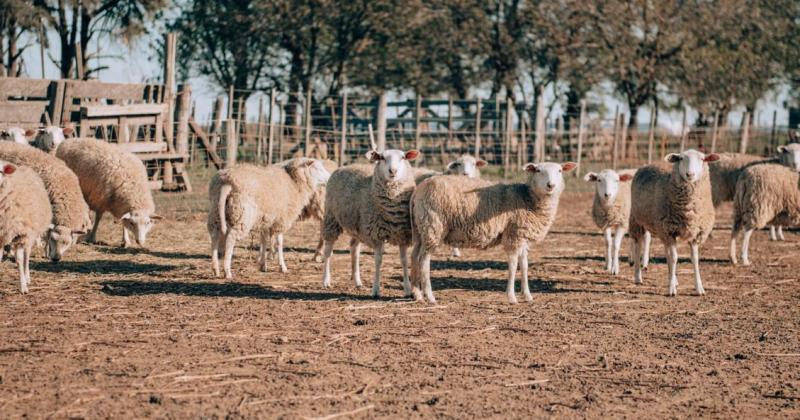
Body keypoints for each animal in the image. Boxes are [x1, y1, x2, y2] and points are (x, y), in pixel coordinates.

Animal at [0, 162, 52, 294]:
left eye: (0, 171)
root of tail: (25, 167)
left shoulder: (20, 234)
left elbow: (19, 259)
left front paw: (23, 286)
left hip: (29, 233)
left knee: (26, 255)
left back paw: (27, 277)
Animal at [318, 149, 422, 296]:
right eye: (382, 158)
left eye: (403, 157)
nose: (393, 171)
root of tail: (344, 166)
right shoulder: (376, 235)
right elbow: (378, 261)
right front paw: (376, 290)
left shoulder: (402, 235)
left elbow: (404, 261)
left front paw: (407, 289)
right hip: (331, 218)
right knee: (328, 251)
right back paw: (326, 280)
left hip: (357, 226)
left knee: (354, 249)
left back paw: (357, 281)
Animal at [410, 160, 580, 302]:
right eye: (538, 170)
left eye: (559, 170)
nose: (551, 185)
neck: (527, 199)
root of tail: (419, 189)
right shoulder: (513, 235)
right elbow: (513, 265)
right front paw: (511, 297)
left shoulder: (522, 236)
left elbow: (524, 265)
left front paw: (527, 295)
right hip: (433, 225)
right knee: (424, 260)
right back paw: (430, 296)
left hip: (421, 229)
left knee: (415, 256)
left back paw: (417, 293)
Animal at [628, 149, 720, 296]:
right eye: (681, 158)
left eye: (702, 159)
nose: (690, 174)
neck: (688, 211)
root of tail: (648, 164)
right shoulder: (670, 231)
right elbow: (674, 258)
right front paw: (671, 289)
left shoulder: (694, 233)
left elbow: (694, 259)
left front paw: (699, 288)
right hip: (637, 220)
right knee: (638, 246)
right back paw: (638, 277)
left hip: (661, 229)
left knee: (666, 253)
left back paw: (674, 278)